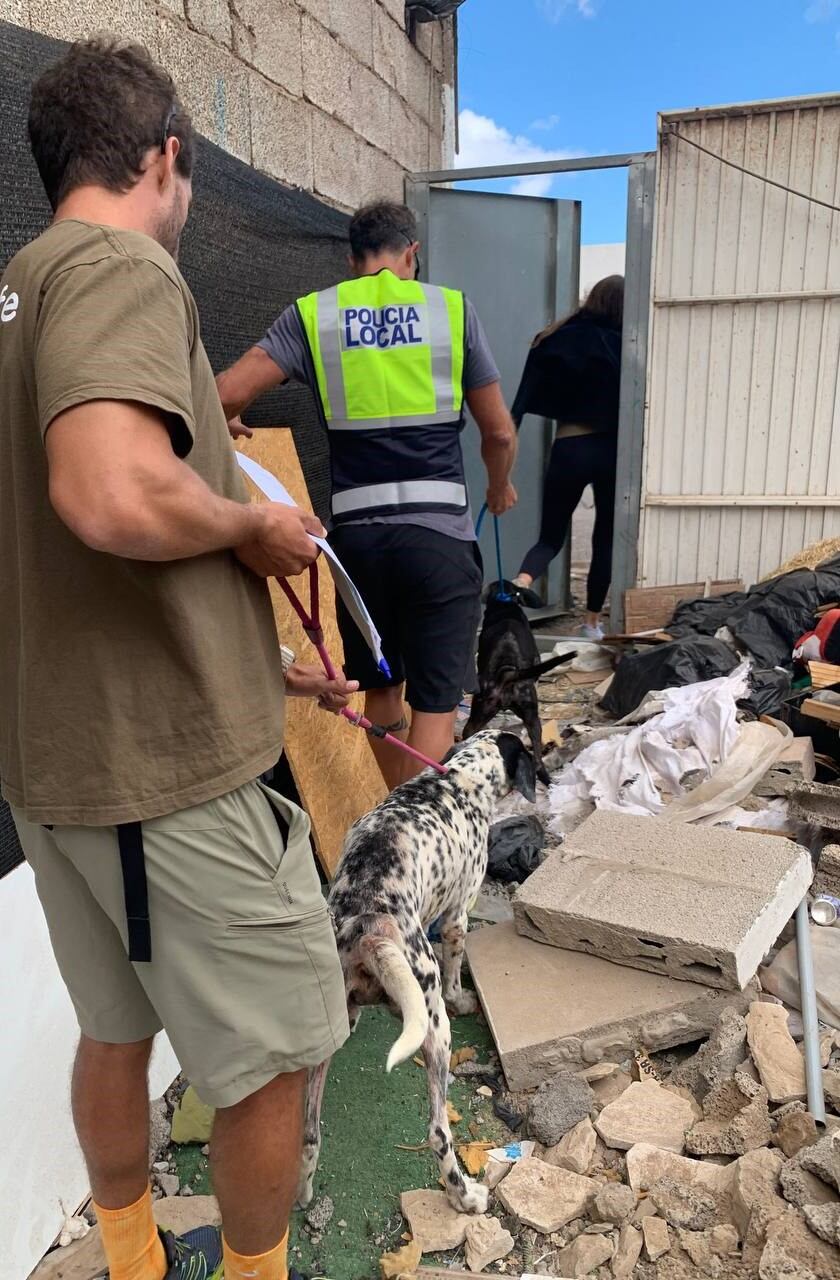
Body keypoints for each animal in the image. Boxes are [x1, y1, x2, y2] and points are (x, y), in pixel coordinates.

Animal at [297, 732, 537, 1208]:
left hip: (331, 1036)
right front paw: (464, 997)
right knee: (438, 1132)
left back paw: (304, 1192)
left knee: (310, 1132)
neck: (458, 778)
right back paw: (465, 1197)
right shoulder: (459, 914)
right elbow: (456, 968)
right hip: (434, 1028)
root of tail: (369, 929)